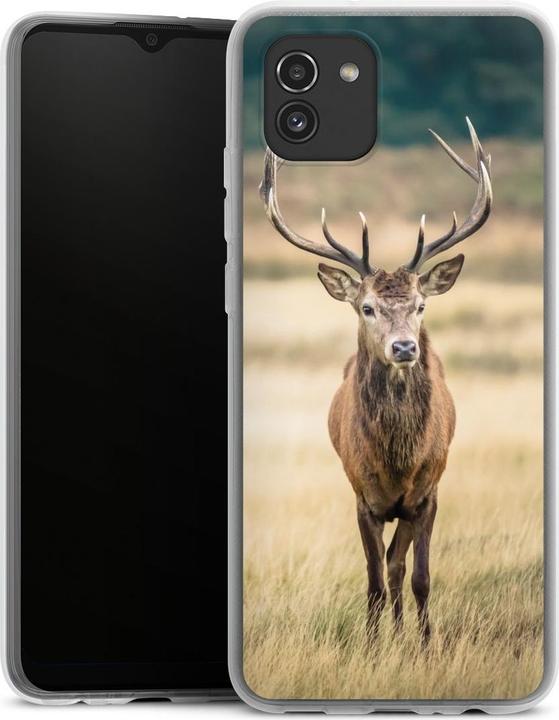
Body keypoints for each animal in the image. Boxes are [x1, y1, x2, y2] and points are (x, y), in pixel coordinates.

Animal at [259, 118, 492, 644]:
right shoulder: (362, 496)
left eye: (421, 306)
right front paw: (370, 644)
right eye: (367, 307)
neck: (397, 462)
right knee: (385, 568)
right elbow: (372, 581)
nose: (404, 347)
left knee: (398, 566)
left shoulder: (427, 493)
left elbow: (418, 575)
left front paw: (425, 645)